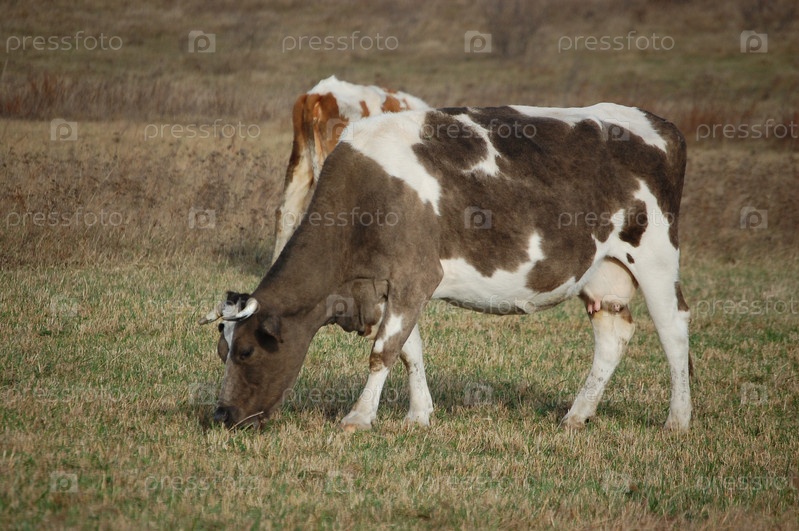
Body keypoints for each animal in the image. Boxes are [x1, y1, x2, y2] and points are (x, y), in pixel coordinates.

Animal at [201, 103, 692, 433]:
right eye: (223, 351)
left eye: (246, 352)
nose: (222, 414)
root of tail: (661, 124)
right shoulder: (391, 285)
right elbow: (408, 351)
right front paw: (419, 415)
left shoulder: (414, 275)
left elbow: (383, 351)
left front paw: (359, 417)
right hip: (603, 272)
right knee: (613, 335)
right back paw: (577, 415)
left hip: (655, 256)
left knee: (673, 328)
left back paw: (678, 419)